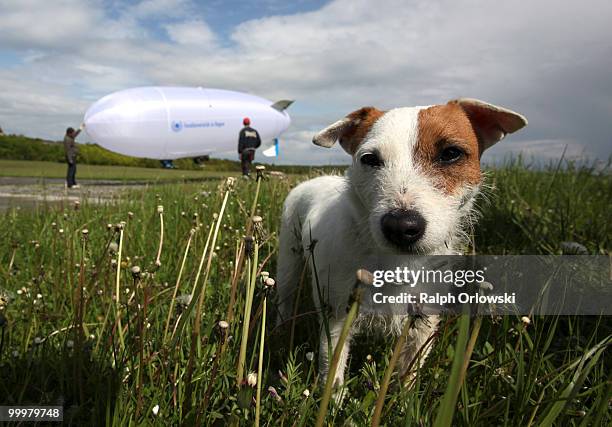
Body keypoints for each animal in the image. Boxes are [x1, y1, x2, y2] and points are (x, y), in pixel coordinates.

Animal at [276, 98, 524, 390]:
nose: (400, 226)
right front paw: (332, 400)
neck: (397, 264)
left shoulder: (423, 322)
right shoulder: (336, 319)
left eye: (451, 153)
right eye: (369, 159)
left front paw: (403, 397)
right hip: (288, 263)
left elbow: (410, 370)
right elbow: (332, 370)